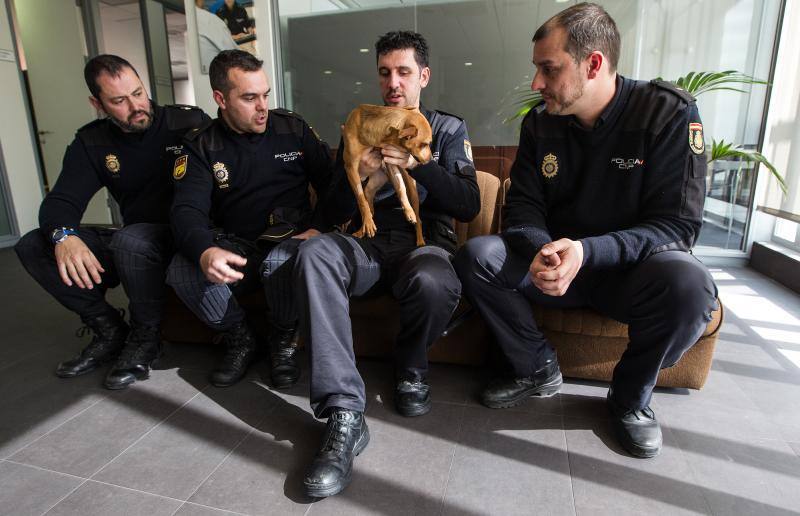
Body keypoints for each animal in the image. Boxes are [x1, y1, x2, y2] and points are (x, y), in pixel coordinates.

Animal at [342, 104, 434, 247]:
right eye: (425, 144)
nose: (431, 159)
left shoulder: (391, 164)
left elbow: (401, 189)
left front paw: (409, 212)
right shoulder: (351, 168)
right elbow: (361, 198)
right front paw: (368, 223)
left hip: (412, 192)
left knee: (419, 219)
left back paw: (420, 240)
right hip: (371, 187)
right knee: (368, 202)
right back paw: (363, 229)